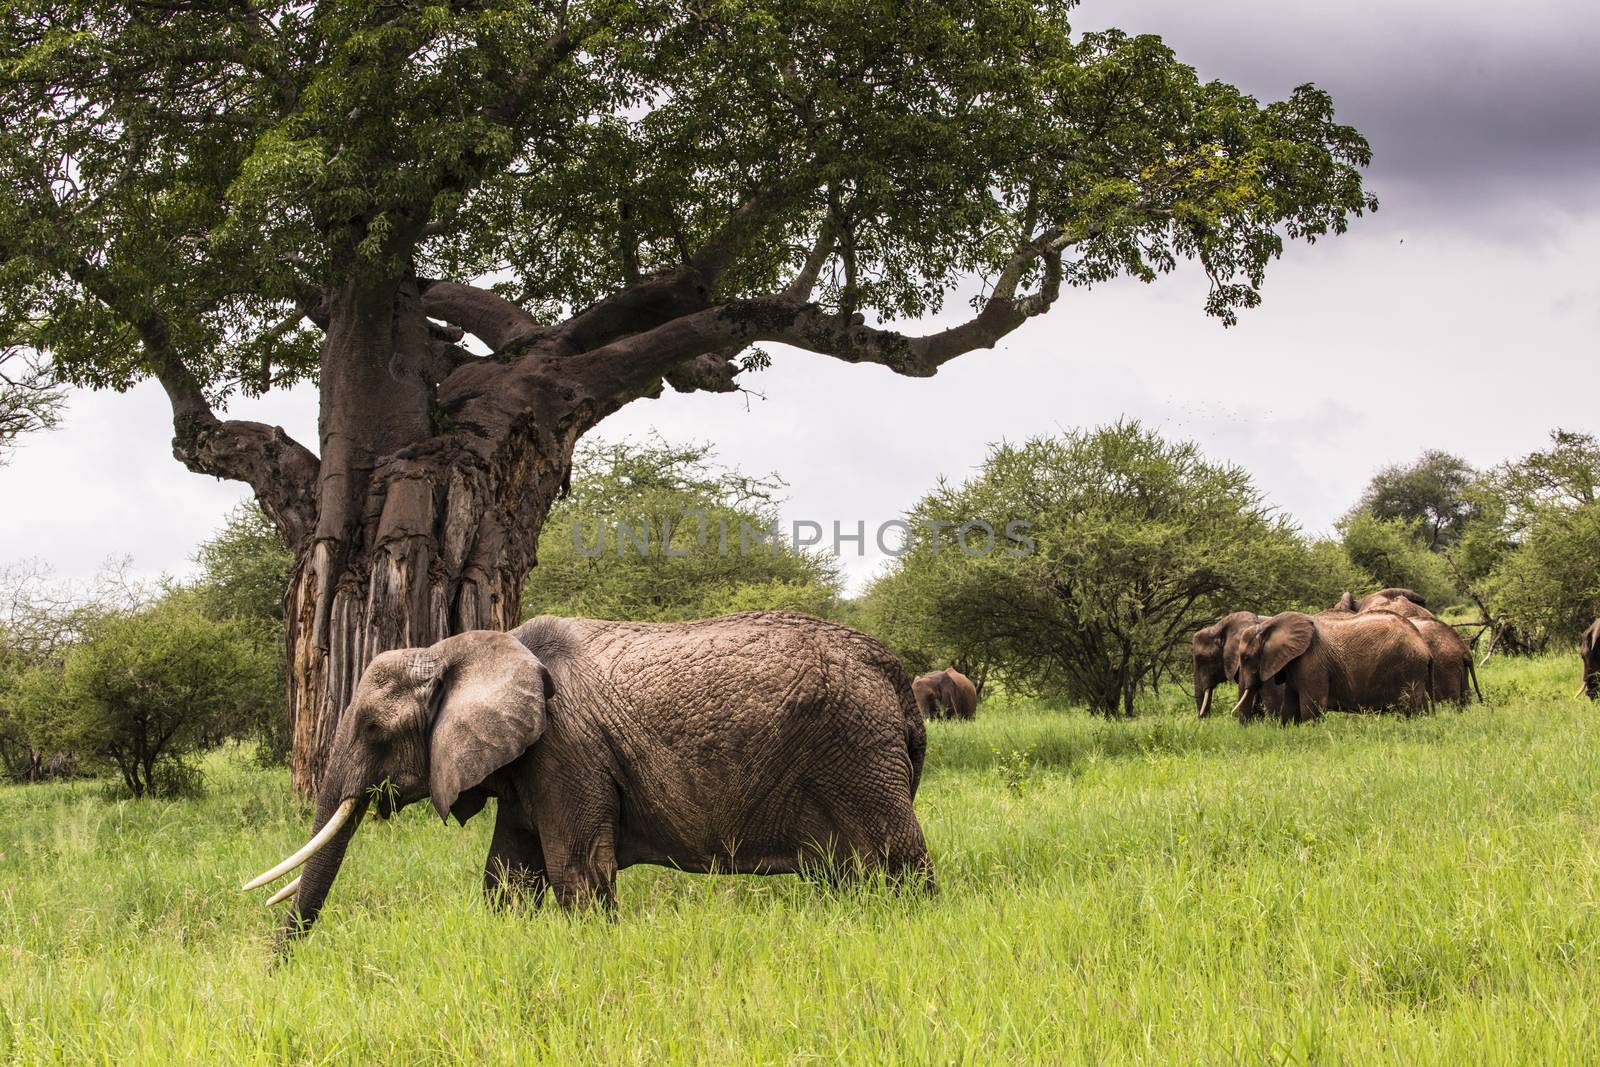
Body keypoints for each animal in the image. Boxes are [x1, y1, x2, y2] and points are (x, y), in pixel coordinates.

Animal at [1228, 607, 1433, 726]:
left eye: (1246, 657)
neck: (1270, 624)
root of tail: (1424, 645)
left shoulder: (1312, 661)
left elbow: (1311, 708)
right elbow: (1291, 707)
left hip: (1408, 667)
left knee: (1409, 709)